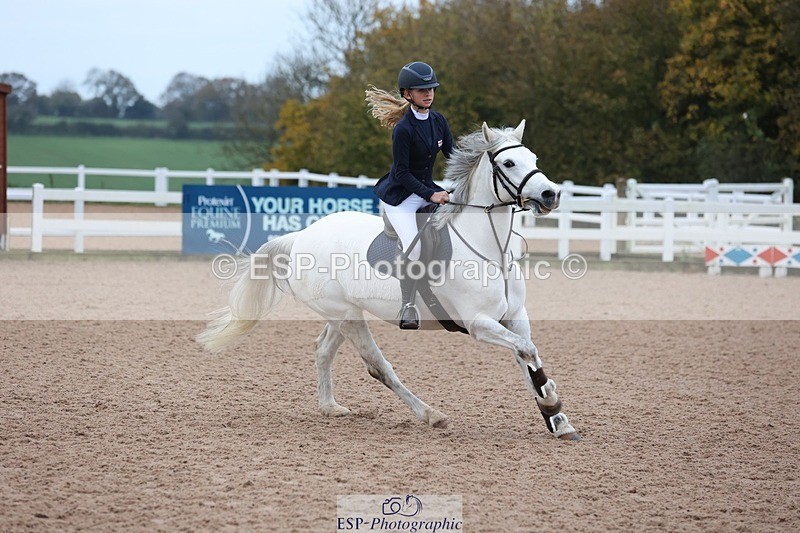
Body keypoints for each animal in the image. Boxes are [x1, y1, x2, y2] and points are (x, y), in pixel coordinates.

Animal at [197, 120, 581, 441]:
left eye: (533, 158)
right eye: (510, 164)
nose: (551, 194)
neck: (490, 250)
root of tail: (301, 236)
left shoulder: (514, 316)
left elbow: (527, 356)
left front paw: (557, 418)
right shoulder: (478, 323)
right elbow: (527, 351)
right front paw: (551, 404)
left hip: (342, 314)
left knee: (323, 350)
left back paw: (330, 407)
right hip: (348, 316)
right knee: (379, 367)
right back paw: (431, 414)